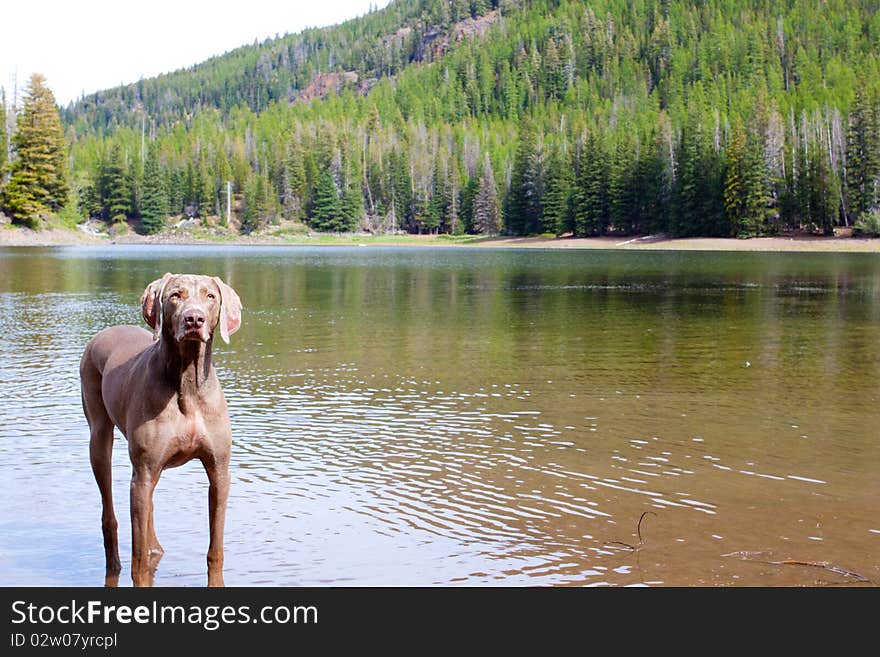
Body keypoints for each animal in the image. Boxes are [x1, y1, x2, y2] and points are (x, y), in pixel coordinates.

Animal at [79, 272, 242, 584]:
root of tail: (101, 334)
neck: (187, 383)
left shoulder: (219, 470)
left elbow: (216, 547)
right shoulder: (142, 471)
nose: (194, 319)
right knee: (110, 510)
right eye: (175, 296)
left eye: (210, 296)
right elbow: (138, 558)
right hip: (99, 436)